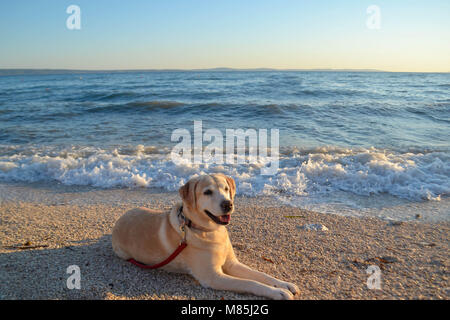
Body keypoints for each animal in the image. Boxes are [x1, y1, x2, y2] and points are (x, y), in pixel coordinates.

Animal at [111, 174, 298, 298]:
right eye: (207, 192)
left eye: (226, 189)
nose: (228, 204)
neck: (209, 230)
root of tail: (118, 220)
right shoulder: (213, 277)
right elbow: (250, 282)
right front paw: (278, 292)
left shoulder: (232, 263)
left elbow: (260, 275)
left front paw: (284, 285)